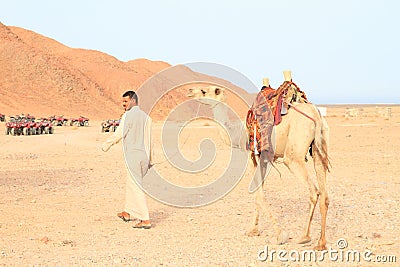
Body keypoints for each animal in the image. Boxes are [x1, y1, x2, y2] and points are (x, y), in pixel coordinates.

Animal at [188, 72, 332, 252]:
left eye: (204, 91)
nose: (189, 91)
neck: (239, 133)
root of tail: (316, 115)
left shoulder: (254, 155)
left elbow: (258, 194)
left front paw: (279, 234)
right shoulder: (264, 158)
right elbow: (258, 192)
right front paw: (254, 230)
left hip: (293, 156)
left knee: (313, 191)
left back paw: (305, 236)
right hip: (319, 149)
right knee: (325, 194)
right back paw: (321, 243)